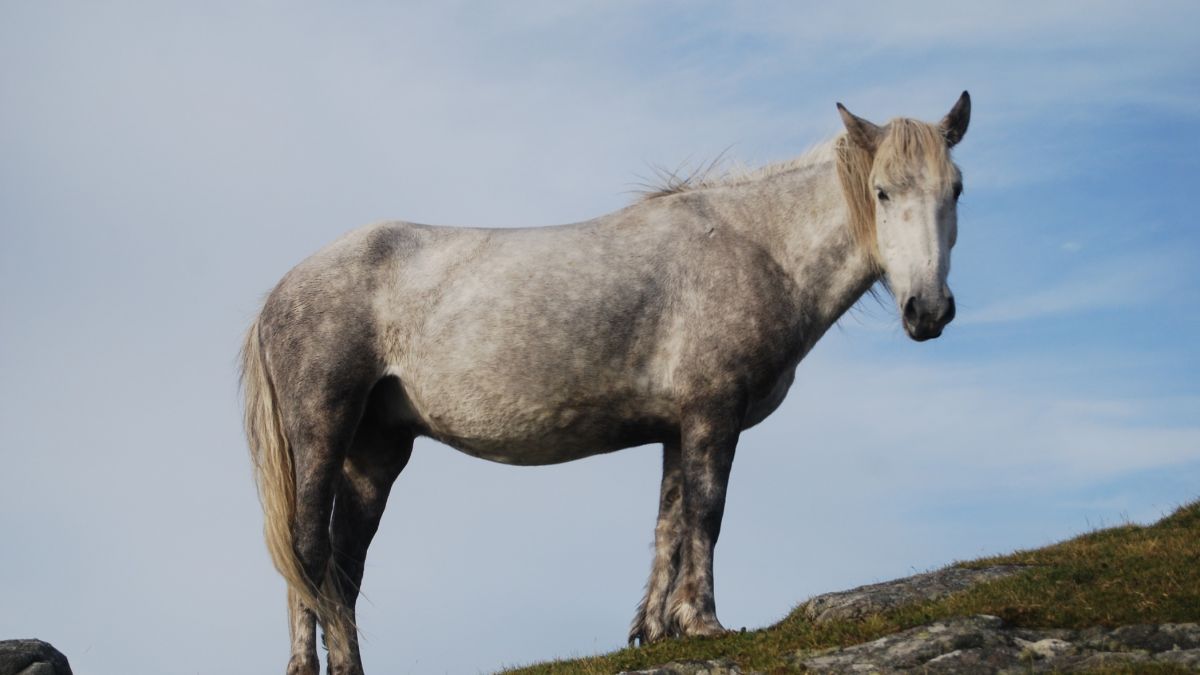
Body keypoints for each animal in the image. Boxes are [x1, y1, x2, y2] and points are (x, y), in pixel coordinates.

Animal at [241, 92, 971, 675]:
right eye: (882, 191)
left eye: (955, 189)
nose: (928, 311)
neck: (755, 247)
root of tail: (281, 291)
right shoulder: (713, 414)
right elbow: (706, 514)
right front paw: (704, 621)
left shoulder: (678, 427)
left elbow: (668, 524)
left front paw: (655, 629)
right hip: (322, 429)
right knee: (308, 548)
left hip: (377, 449)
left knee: (342, 562)